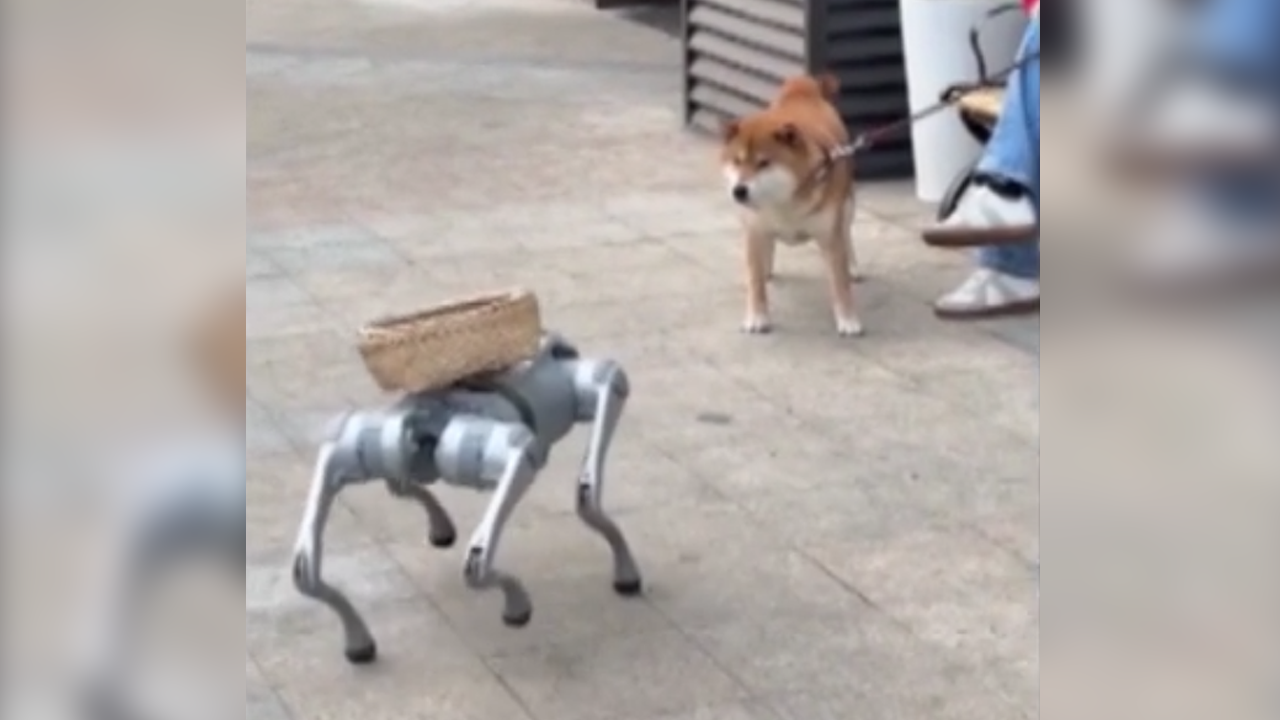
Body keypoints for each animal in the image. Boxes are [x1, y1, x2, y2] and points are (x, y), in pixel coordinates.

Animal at [721, 73, 864, 337]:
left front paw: (848, 319)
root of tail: (802, 86)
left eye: (764, 163)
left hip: (847, 204)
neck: (784, 202)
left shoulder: (829, 236)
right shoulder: (754, 229)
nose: (739, 190)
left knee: (847, 232)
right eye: (736, 161)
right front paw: (757, 317)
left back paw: (854, 266)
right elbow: (754, 280)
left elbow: (839, 283)